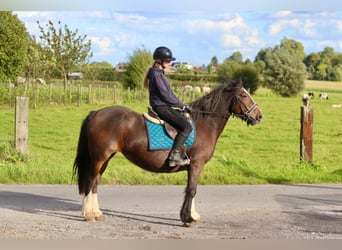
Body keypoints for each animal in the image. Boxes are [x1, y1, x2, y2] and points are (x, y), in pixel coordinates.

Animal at [73, 78, 264, 227]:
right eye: (243, 95)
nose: (259, 116)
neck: (204, 123)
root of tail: (95, 113)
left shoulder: (193, 166)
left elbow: (190, 189)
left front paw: (192, 215)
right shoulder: (197, 164)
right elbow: (192, 190)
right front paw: (188, 219)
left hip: (105, 158)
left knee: (96, 182)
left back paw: (96, 213)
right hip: (99, 158)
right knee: (91, 181)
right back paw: (88, 215)